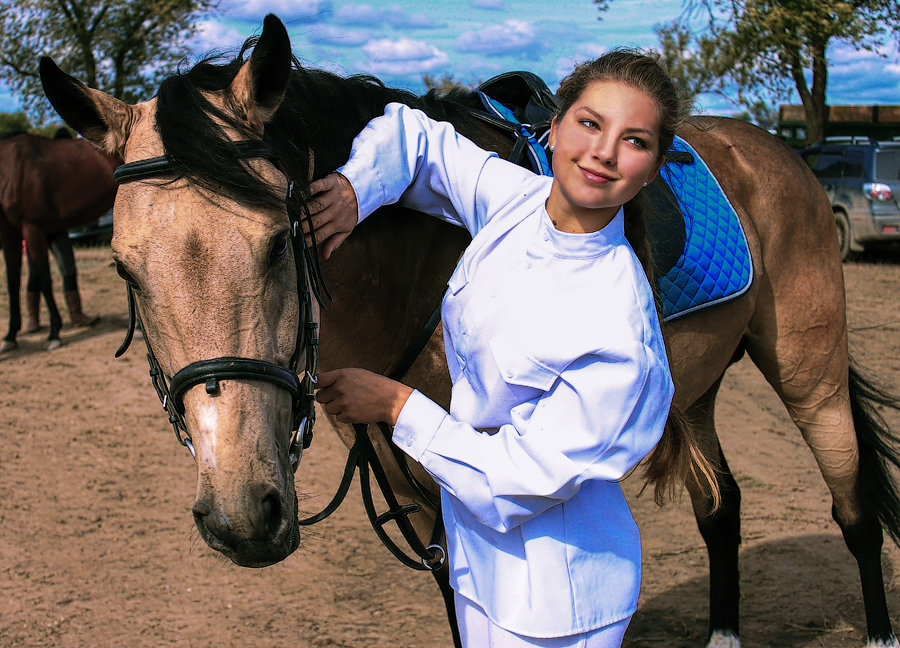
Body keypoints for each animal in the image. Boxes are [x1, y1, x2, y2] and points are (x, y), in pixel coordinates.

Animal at [0, 132, 117, 352]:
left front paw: (54, 333)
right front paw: (10, 336)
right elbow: (13, 282)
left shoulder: (33, 228)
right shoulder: (10, 234)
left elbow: (45, 279)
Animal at [40, 13, 900, 648]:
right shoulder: (418, 494)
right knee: (722, 509)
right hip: (696, 391)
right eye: (124, 270)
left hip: (811, 375)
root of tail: (775, 151)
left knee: (854, 509)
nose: (242, 516)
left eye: (280, 242)